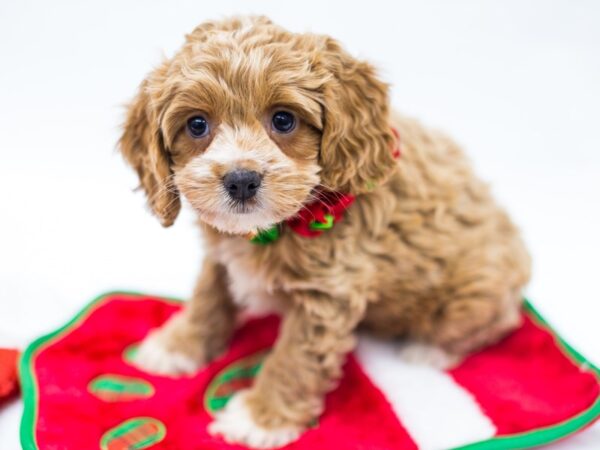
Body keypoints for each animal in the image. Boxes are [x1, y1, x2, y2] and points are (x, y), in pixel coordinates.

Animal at [119, 15, 532, 448]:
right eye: (197, 124)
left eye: (283, 119)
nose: (241, 180)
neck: (270, 230)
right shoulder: (221, 255)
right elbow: (207, 296)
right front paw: (178, 346)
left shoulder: (327, 294)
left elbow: (294, 357)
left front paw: (260, 419)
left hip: (475, 295)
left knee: (493, 323)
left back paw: (428, 351)